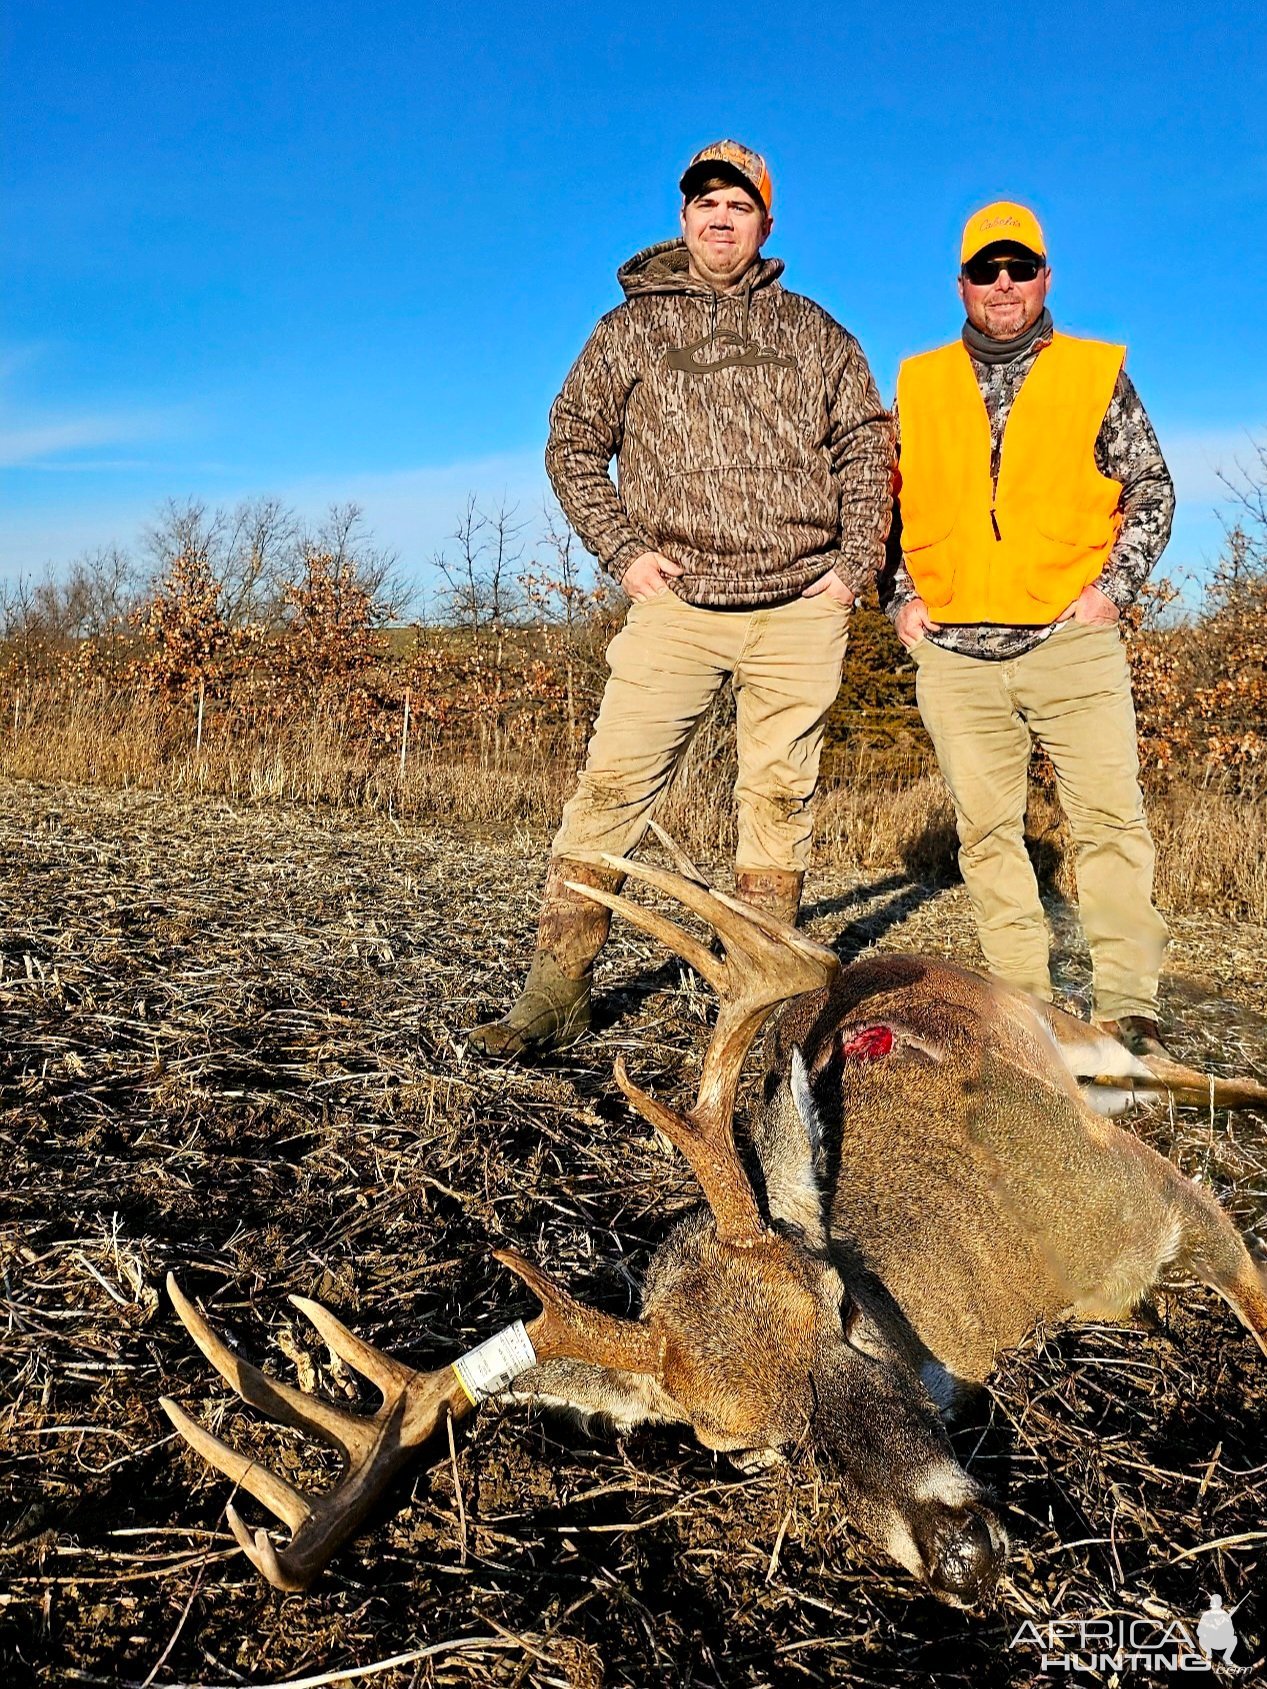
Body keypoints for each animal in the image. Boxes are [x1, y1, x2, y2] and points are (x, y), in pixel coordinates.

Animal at [163, 830, 1267, 1607]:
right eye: (748, 1450)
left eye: (845, 1311)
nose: (961, 1558)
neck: (1007, 1281)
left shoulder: (1169, 1199)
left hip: (1076, 1042)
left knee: (1182, 1067)